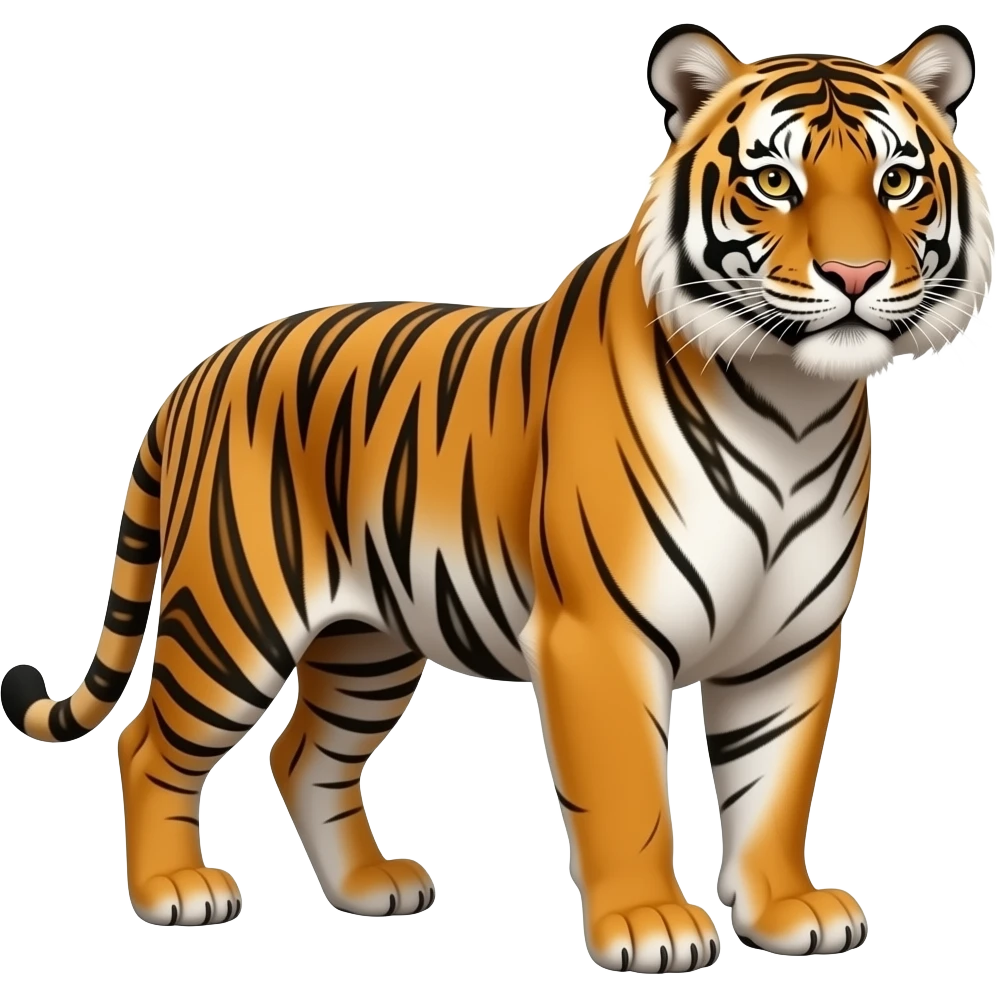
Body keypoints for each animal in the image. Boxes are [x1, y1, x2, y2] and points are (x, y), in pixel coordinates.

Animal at [1, 20, 991, 973]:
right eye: (775, 182)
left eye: (897, 180)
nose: (856, 277)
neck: (791, 405)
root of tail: (198, 373)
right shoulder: (600, 634)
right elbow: (629, 789)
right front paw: (650, 926)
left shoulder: (789, 641)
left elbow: (774, 784)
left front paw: (785, 910)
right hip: (233, 613)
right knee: (148, 743)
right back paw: (174, 891)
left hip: (367, 642)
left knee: (304, 753)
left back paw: (368, 887)